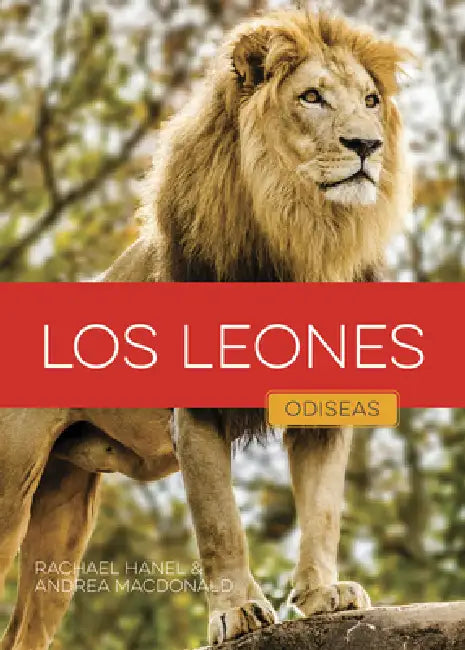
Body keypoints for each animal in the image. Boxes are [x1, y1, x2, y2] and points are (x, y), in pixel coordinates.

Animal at [0, 8, 412, 649]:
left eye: (371, 101)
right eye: (312, 97)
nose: (368, 145)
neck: (300, 235)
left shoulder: (323, 408)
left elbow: (322, 509)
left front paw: (323, 596)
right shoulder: (195, 413)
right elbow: (221, 520)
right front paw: (238, 610)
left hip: (61, 512)